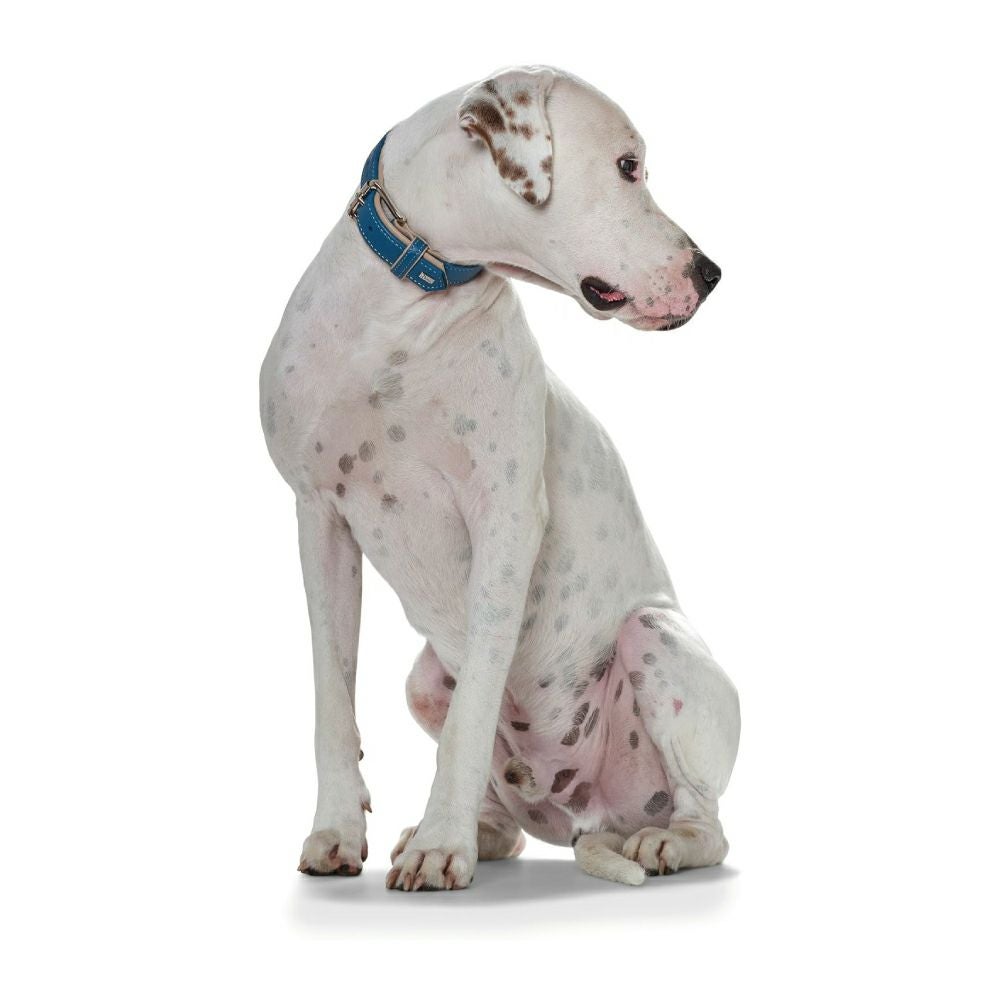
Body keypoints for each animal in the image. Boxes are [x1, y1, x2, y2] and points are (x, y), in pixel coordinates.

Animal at [260, 65, 740, 890]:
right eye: (627, 166)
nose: (709, 273)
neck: (407, 305)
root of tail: (591, 816)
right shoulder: (318, 519)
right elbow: (333, 699)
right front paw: (337, 832)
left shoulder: (506, 522)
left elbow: (477, 706)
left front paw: (440, 848)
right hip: (423, 681)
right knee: (507, 812)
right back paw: (478, 829)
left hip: (653, 639)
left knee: (706, 822)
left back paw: (665, 844)